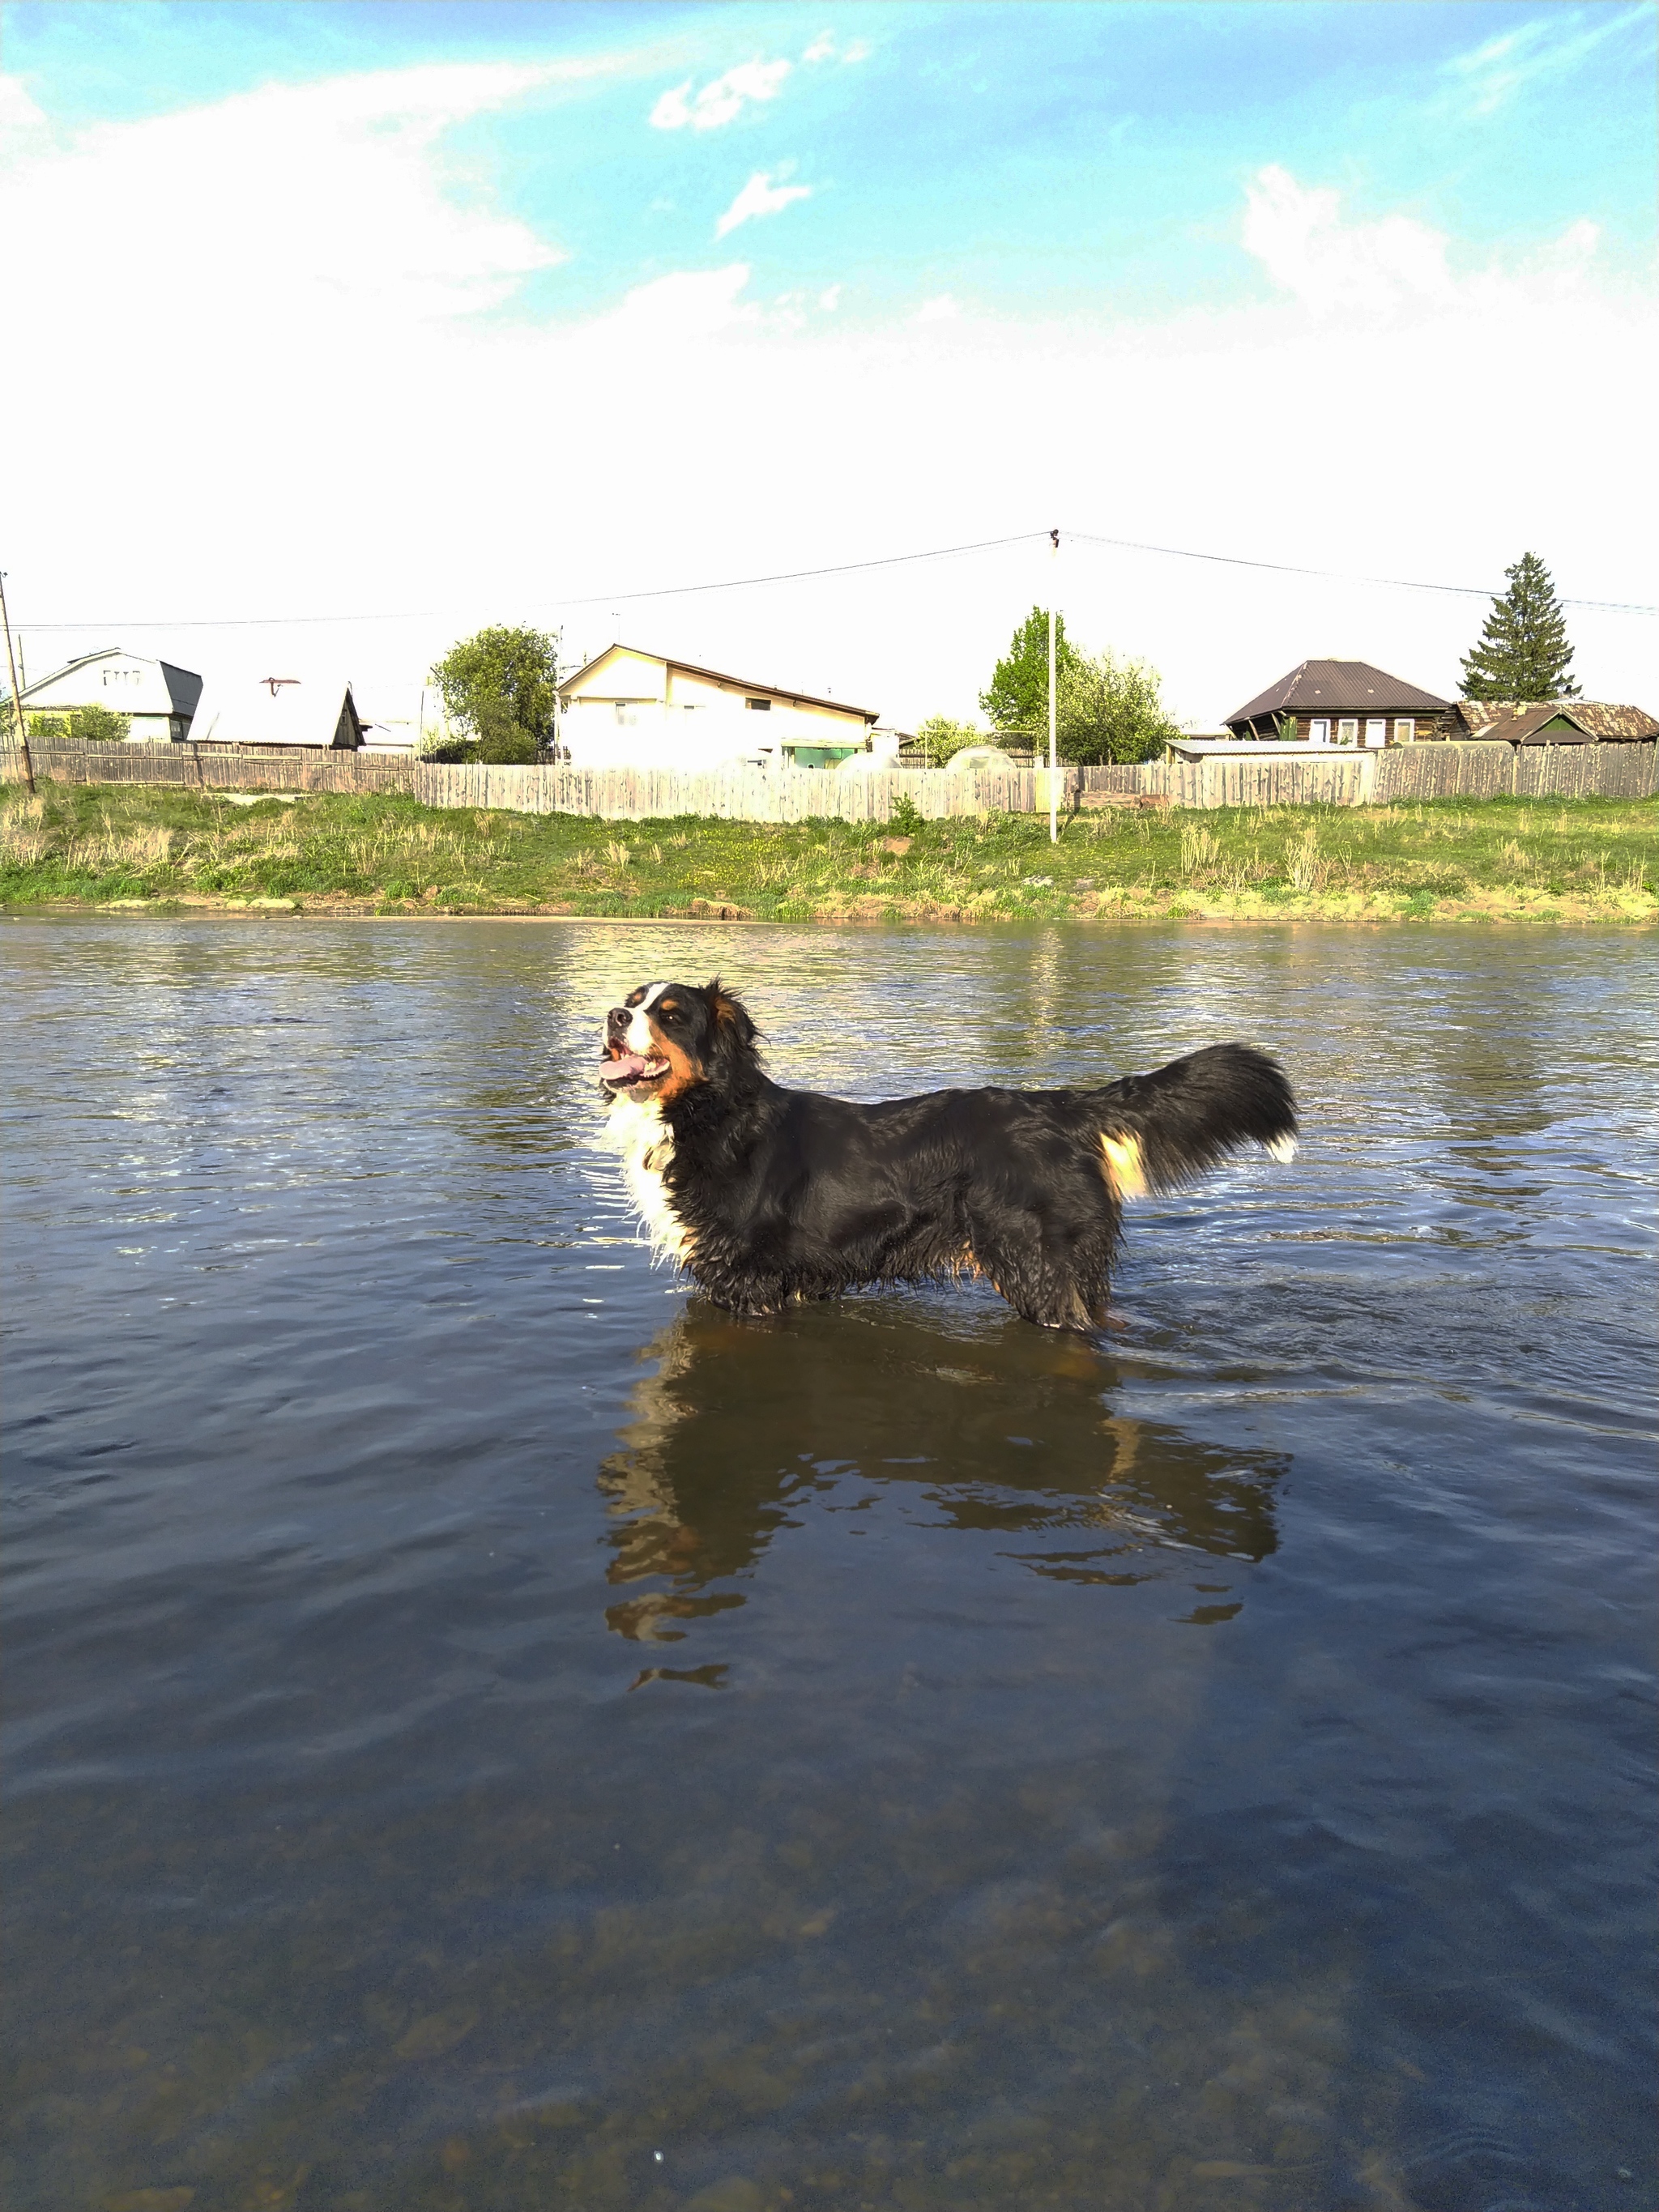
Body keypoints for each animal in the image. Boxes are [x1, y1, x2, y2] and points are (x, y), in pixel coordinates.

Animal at [597, 982, 1300, 1327]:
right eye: (632, 1002)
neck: (709, 1112)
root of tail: (1061, 1107)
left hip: (1035, 1267)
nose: (610, 1016)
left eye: (670, 1013)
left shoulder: (749, 1280)